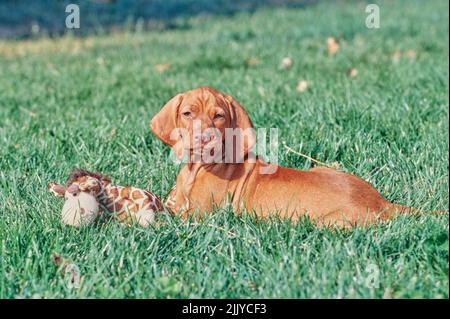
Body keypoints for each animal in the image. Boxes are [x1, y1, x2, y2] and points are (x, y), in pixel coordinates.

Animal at [151, 87, 418, 228]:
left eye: (218, 116)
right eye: (187, 113)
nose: (204, 138)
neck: (195, 169)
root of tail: (382, 203)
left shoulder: (196, 215)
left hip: (329, 223)